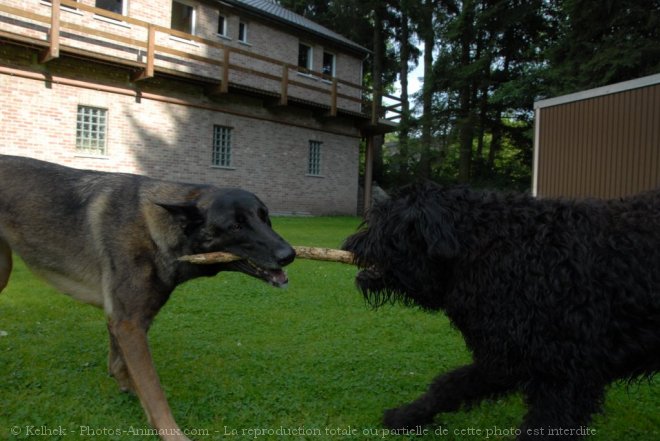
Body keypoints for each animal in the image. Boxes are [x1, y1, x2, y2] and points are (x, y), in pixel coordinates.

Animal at [346, 181, 660, 436]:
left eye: (384, 223)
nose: (350, 244)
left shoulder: (564, 377)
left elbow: (544, 427)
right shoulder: (505, 357)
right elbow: (448, 386)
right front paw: (406, 416)